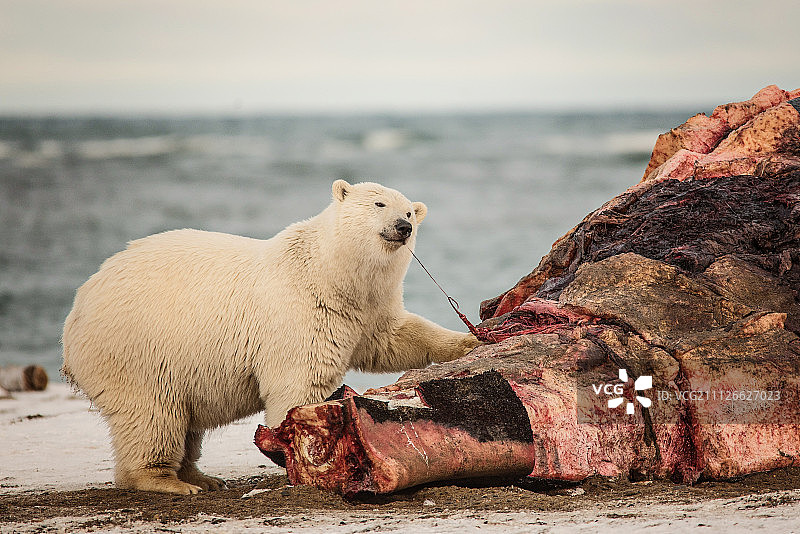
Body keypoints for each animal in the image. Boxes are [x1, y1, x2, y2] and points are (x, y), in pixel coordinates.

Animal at [62, 181, 478, 498]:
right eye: (379, 203)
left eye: (409, 212)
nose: (402, 226)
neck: (330, 273)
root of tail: (77, 309)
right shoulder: (303, 311)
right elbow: (298, 383)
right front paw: (297, 447)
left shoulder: (366, 310)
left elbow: (395, 338)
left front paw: (468, 342)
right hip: (136, 351)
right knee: (152, 415)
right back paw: (169, 481)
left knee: (184, 420)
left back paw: (202, 477)